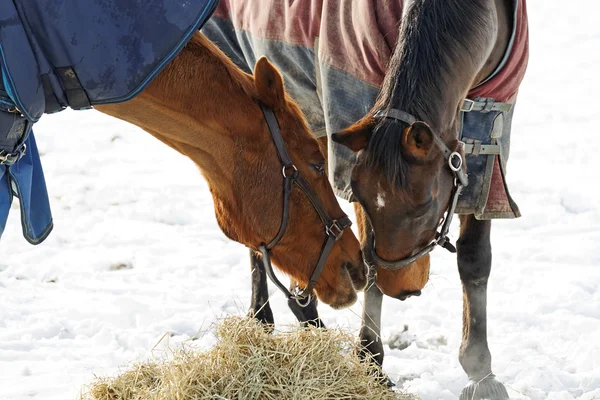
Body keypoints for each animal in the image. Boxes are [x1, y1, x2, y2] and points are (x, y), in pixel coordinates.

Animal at [203, 1, 528, 398]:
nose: (402, 289)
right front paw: (370, 362)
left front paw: (480, 372)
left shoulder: (490, 148)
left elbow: (474, 261)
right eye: (361, 195)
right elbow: (368, 260)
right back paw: (263, 318)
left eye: (424, 205)